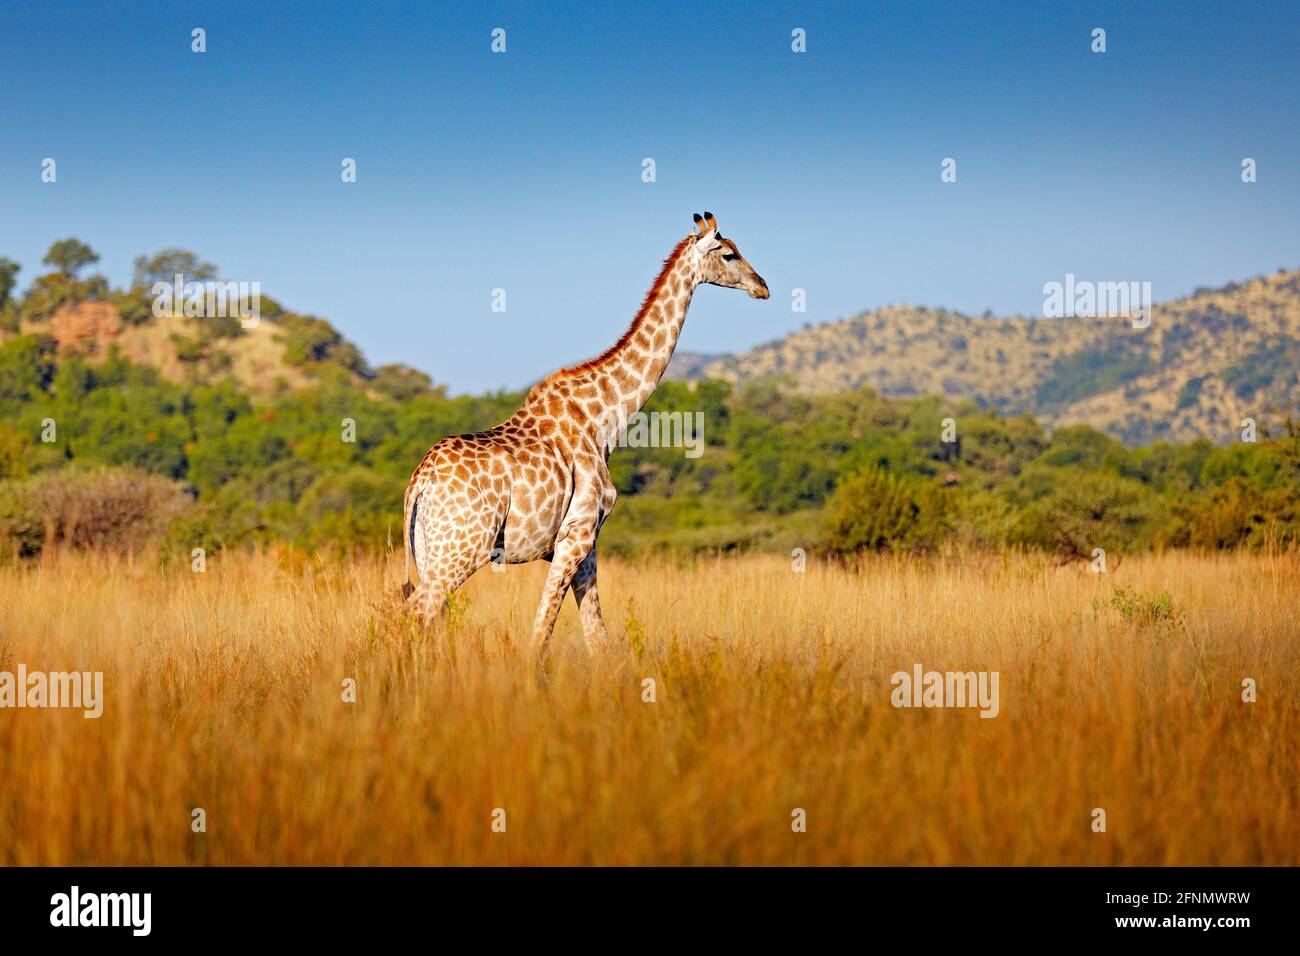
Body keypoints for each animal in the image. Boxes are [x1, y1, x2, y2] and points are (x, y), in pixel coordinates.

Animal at [401, 212, 768, 659]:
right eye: (729, 253)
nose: (762, 286)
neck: (605, 419)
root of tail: (419, 483)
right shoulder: (577, 534)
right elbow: (542, 634)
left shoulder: (587, 544)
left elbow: (597, 638)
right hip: (463, 549)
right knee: (417, 612)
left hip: (431, 551)